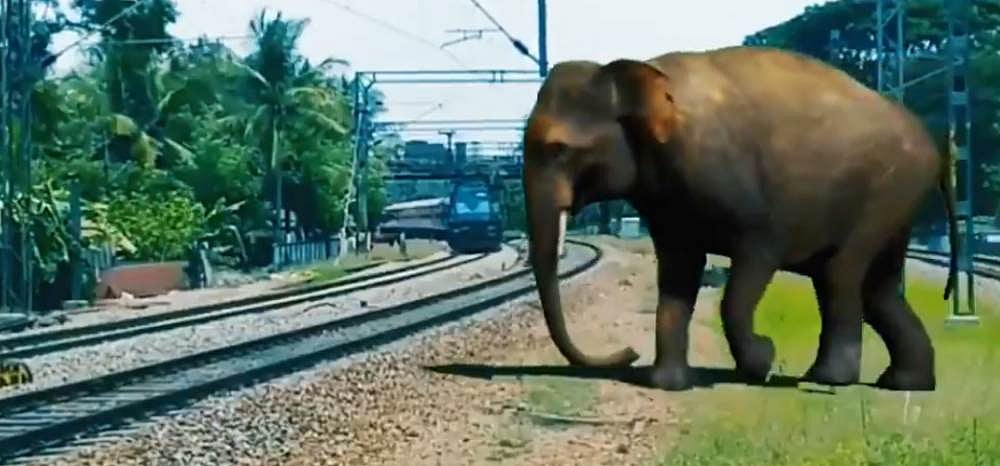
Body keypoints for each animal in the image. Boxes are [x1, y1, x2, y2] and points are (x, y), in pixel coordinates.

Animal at [521, 45, 957, 392]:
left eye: (558, 149)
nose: (627, 352)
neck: (639, 69)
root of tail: (933, 145)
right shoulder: (668, 201)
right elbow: (678, 270)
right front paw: (668, 384)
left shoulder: (732, 184)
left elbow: (754, 258)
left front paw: (762, 362)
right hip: (895, 202)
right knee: (878, 288)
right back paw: (905, 383)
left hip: (886, 193)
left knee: (840, 273)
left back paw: (828, 378)